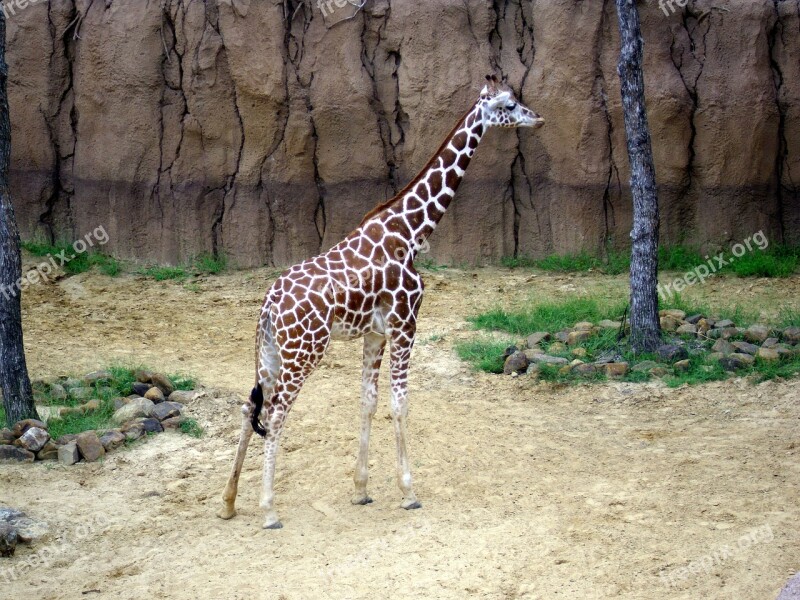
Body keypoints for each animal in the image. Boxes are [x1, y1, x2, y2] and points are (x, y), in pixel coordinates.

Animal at [219, 75, 544, 528]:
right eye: (510, 105)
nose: (539, 118)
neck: (410, 229)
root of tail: (268, 305)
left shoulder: (374, 333)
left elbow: (368, 403)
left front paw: (361, 489)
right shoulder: (406, 323)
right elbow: (400, 403)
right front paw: (408, 492)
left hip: (269, 352)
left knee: (251, 407)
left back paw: (228, 501)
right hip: (304, 352)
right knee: (276, 412)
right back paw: (269, 509)